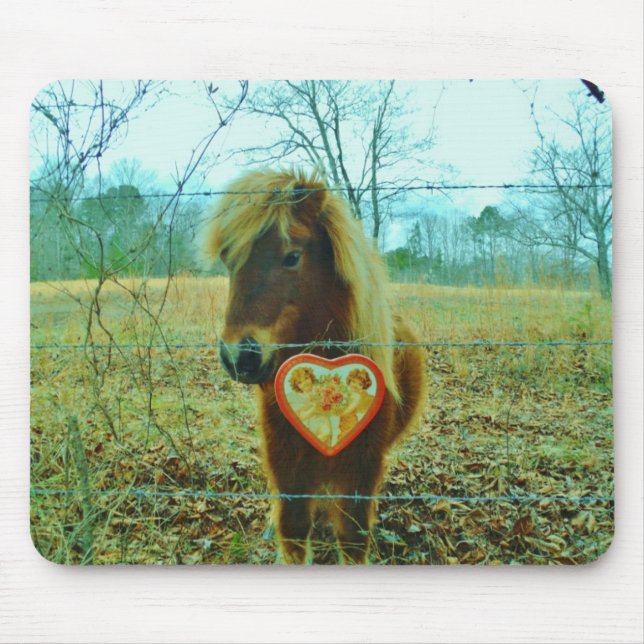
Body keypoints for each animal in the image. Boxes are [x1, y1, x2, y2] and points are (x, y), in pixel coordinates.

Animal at [204, 169, 426, 564]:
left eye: (292, 256)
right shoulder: (286, 464)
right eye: (229, 260)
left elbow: (352, 538)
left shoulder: (361, 470)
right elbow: (292, 531)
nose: (238, 356)